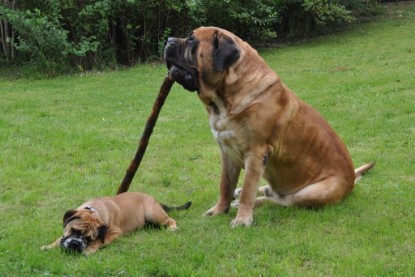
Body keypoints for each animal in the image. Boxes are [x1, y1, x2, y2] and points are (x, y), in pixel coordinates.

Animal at [164, 26, 376, 226]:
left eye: (191, 39)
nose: (168, 40)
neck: (224, 100)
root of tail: (351, 179)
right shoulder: (227, 152)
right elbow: (225, 185)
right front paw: (218, 210)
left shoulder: (255, 152)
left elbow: (248, 191)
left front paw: (242, 219)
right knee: (269, 191)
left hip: (314, 192)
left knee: (281, 201)